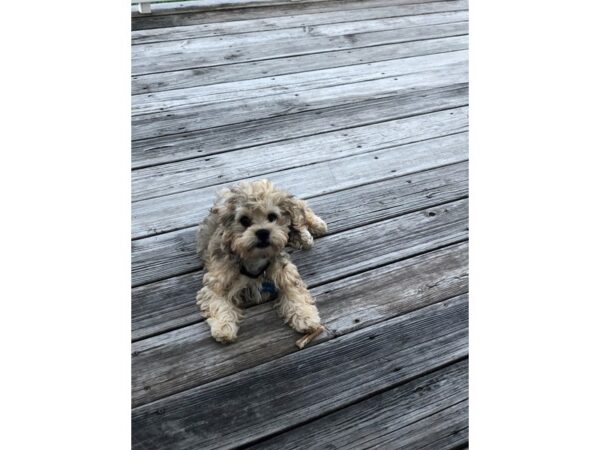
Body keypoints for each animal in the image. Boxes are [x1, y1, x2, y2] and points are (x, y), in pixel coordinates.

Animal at [196, 179, 328, 344]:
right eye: (244, 220)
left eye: (272, 217)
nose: (263, 232)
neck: (254, 258)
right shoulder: (215, 281)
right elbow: (218, 302)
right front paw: (223, 327)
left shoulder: (284, 271)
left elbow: (295, 291)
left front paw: (305, 316)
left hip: (293, 209)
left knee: (300, 209)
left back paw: (314, 227)